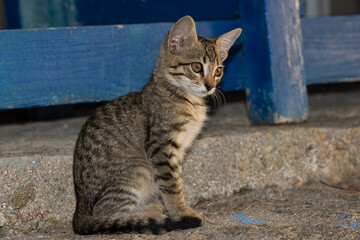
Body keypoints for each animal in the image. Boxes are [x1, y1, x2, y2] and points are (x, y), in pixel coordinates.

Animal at [72, 15, 242, 234]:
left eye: (218, 71)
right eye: (197, 67)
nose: (210, 86)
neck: (185, 98)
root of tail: (79, 208)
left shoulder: (177, 151)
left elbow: (175, 181)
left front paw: (177, 208)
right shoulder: (161, 147)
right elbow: (171, 185)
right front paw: (180, 212)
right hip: (139, 169)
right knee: (106, 212)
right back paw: (146, 215)